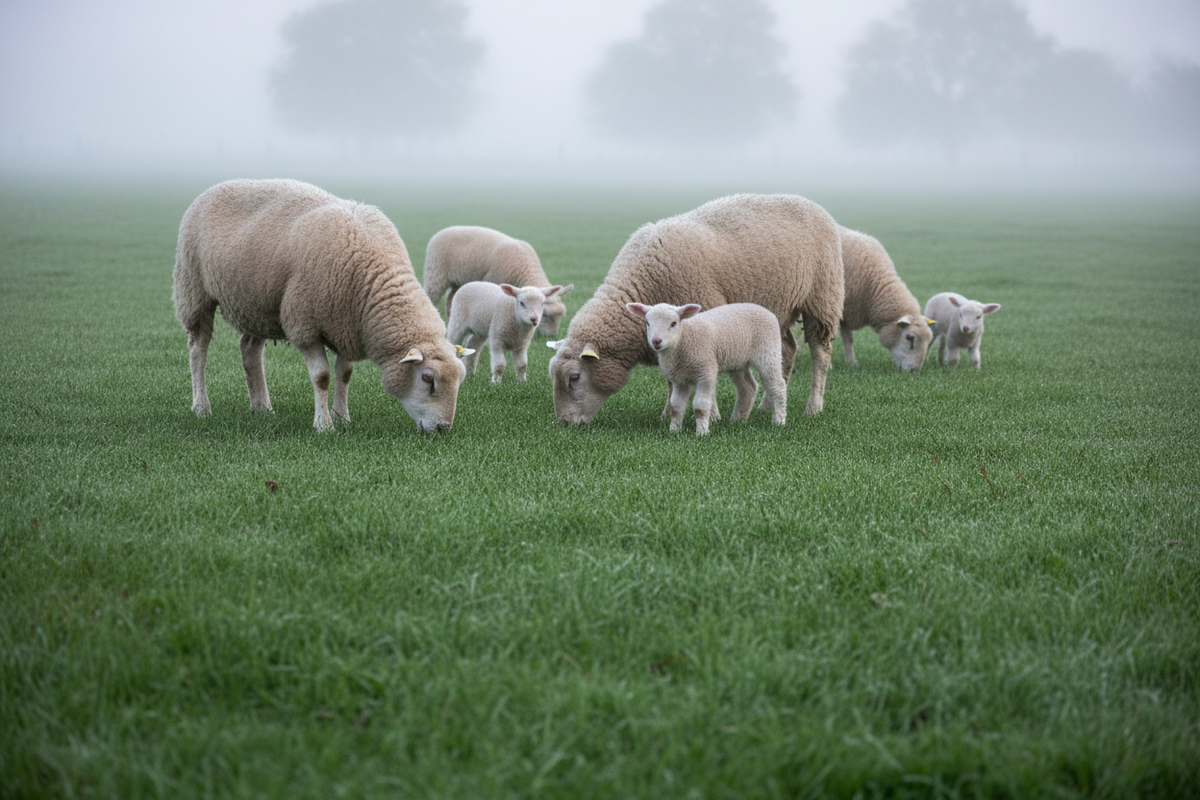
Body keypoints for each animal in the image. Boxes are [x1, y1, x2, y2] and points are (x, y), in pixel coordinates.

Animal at [172, 178, 468, 433]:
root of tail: (217, 186)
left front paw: (343, 417)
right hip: (193, 288)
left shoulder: (349, 326)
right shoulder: (305, 325)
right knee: (198, 350)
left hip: (258, 303)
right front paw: (324, 425)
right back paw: (201, 407)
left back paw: (262, 407)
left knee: (249, 349)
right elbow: (322, 377)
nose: (442, 429)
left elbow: (345, 374)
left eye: (460, 379)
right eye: (427, 378)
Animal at [423, 224, 574, 336]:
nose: (551, 337)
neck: (525, 268)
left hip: (459, 279)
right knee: (431, 296)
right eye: (546, 315)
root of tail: (446, 229)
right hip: (435, 273)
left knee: (451, 298)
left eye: (561, 315)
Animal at [625, 302, 786, 435]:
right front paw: (674, 431)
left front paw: (702, 432)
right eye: (647, 323)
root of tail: (765, 310)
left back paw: (778, 421)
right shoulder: (679, 380)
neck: (684, 339)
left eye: (673, 323)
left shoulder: (705, 373)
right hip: (738, 361)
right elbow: (676, 406)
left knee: (777, 385)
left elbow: (700, 407)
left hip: (768, 351)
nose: (656, 341)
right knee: (748, 388)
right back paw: (737, 420)